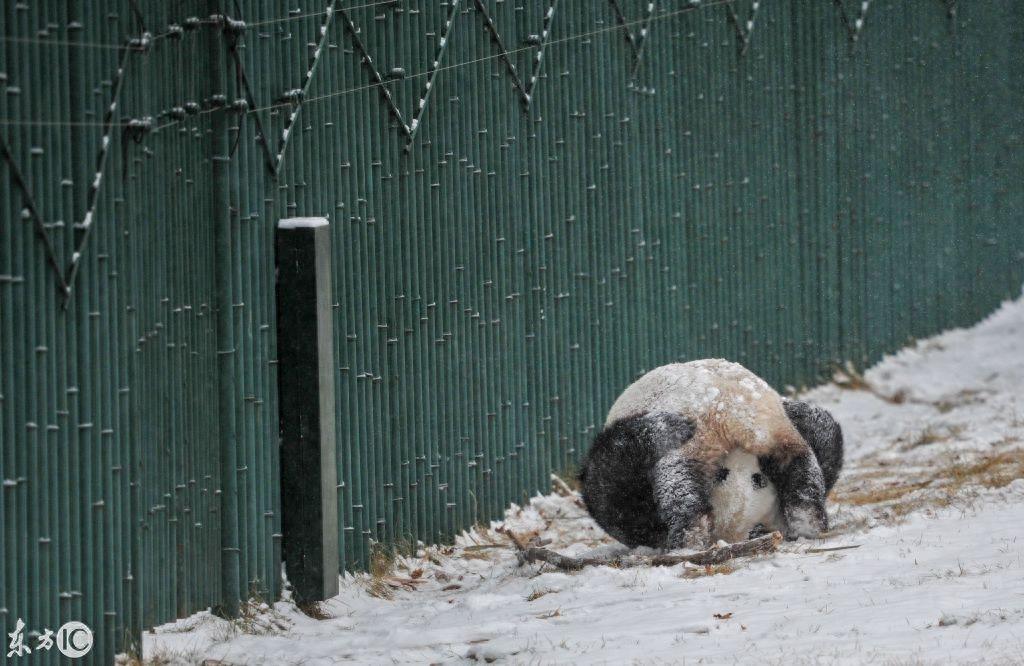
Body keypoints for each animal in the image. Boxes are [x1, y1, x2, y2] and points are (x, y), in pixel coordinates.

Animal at [581, 360, 843, 549]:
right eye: (722, 475)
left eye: (757, 479)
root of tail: (729, 415)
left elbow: (614, 501)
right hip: (773, 429)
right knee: (801, 462)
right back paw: (807, 520)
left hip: (695, 442)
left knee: (674, 481)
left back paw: (689, 534)